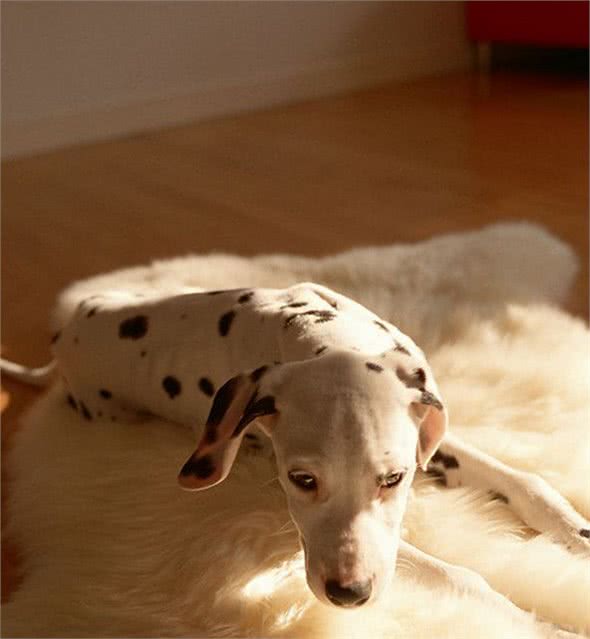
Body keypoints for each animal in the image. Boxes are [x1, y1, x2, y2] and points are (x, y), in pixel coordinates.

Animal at [2, 284, 588, 636]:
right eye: (301, 479)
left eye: (393, 478)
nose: (347, 595)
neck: (323, 333)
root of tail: (66, 333)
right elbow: (463, 576)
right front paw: (547, 626)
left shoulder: (426, 442)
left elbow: (526, 481)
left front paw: (574, 530)